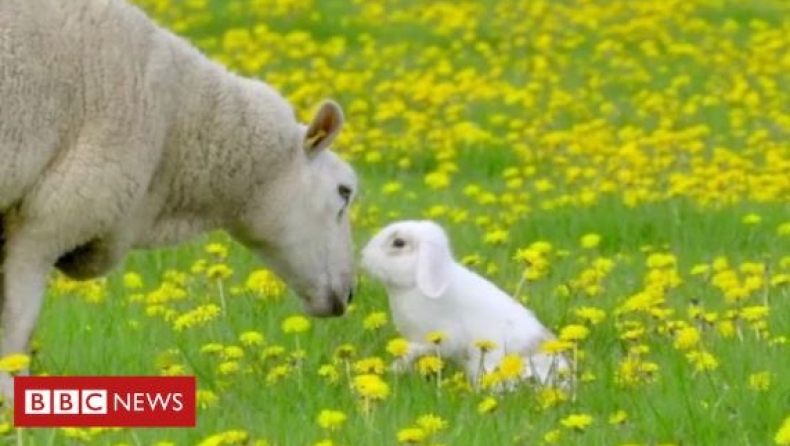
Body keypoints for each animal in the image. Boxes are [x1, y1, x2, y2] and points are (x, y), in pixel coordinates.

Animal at [362, 221, 572, 388]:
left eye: (398, 243)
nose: (365, 255)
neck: (415, 283)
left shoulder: (442, 336)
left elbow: (422, 349)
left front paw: (397, 366)